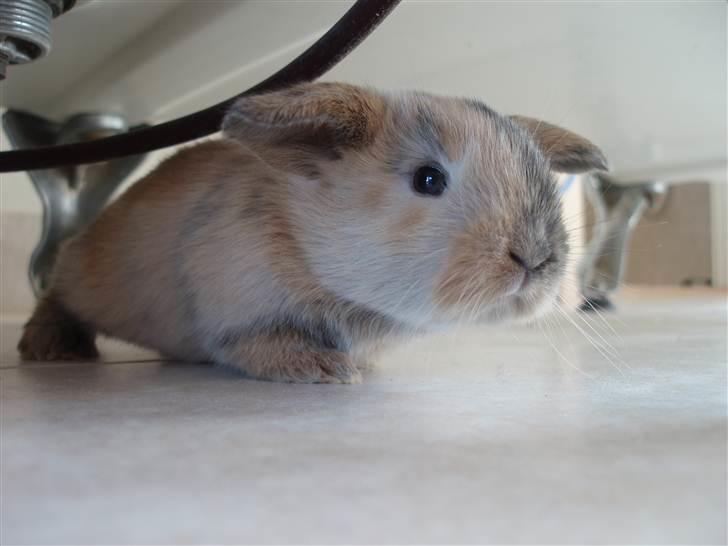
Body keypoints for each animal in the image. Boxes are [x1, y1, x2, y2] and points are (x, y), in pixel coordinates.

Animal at [19, 82, 604, 382]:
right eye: (428, 179)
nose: (535, 260)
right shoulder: (237, 313)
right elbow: (259, 346)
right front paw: (326, 368)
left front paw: (356, 366)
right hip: (84, 278)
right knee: (56, 294)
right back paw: (50, 349)